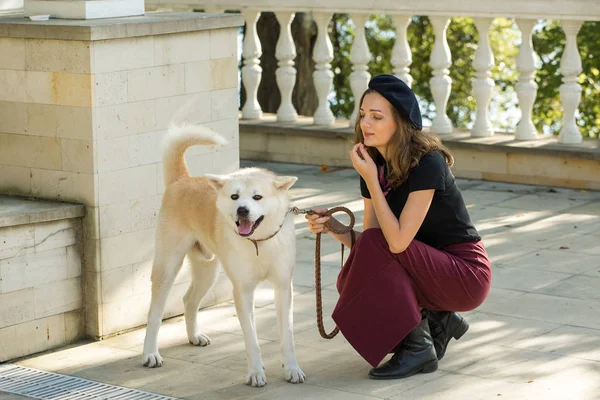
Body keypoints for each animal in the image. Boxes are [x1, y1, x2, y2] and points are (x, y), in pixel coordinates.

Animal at [141, 123, 304, 386]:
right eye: (234, 196)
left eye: (257, 197)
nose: (242, 210)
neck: (258, 243)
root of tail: (182, 180)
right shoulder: (243, 291)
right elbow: (251, 338)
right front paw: (256, 372)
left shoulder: (283, 289)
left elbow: (287, 336)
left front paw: (292, 369)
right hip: (167, 267)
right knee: (155, 313)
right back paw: (150, 353)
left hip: (208, 270)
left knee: (189, 300)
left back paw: (194, 336)